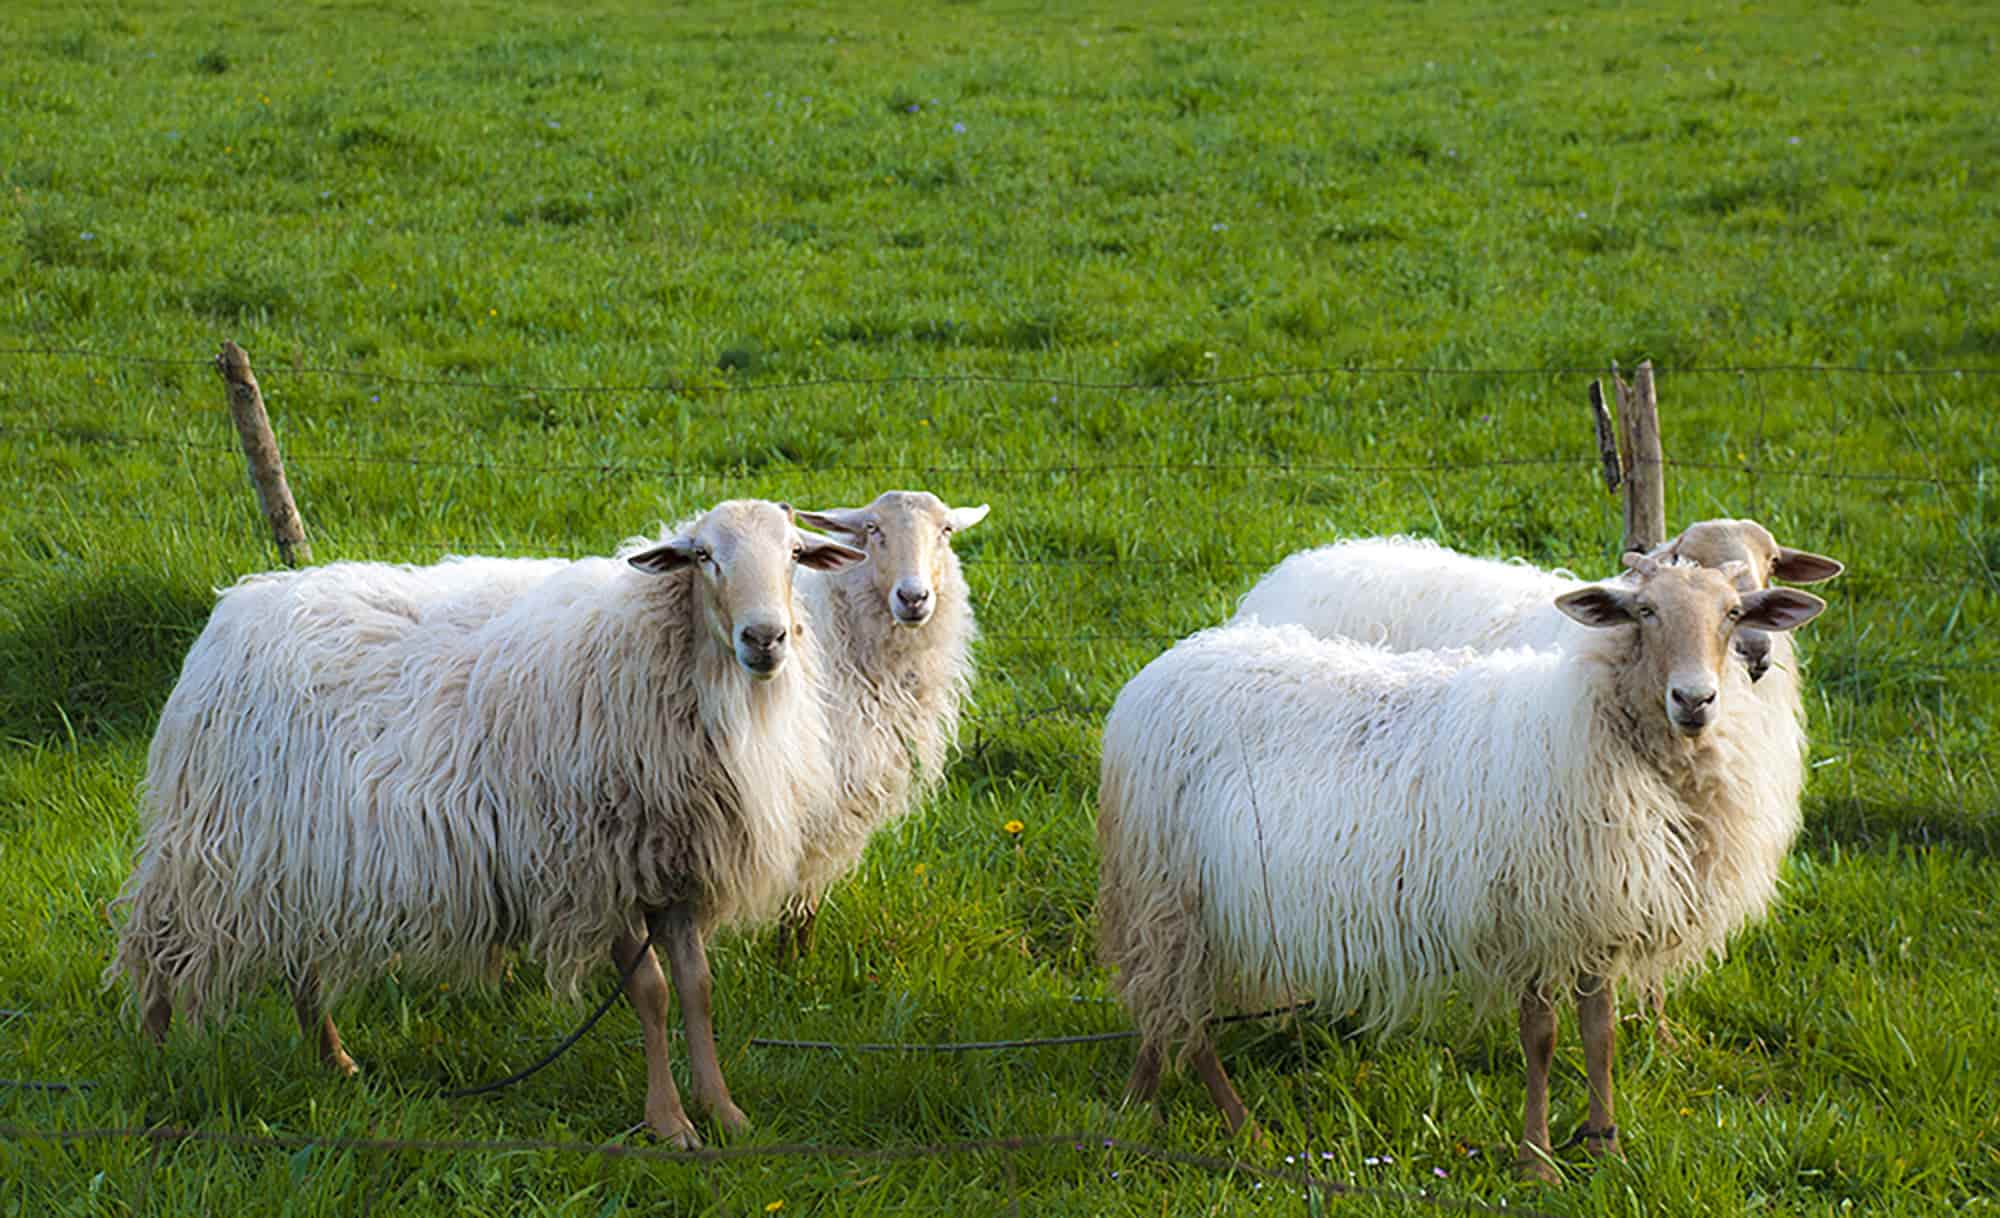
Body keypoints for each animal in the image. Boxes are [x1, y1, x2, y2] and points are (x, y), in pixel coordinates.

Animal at [107, 499, 865, 1148]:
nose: (764, 638)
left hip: (305, 854)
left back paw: (333, 1061)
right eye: (704, 556)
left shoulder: (670, 867)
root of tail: (234, 608)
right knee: (159, 938)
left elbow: (697, 988)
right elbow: (650, 994)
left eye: (795, 553)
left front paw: (723, 1111)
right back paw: (158, 1055)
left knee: (301, 956)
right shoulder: (596, 867)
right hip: (212, 845)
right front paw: (670, 1124)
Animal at [772, 491, 990, 959]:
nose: (913, 597)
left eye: (946, 531)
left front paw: (798, 959)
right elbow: (799, 893)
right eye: (873, 530)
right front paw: (790, 966)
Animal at [1097, 556, 1825, 1179]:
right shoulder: (1531, 915)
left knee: (1165, 1007)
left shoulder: (1596, 916)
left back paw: (1139, 1102)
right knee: (1181, 1012)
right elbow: (1542, 1039)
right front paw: (1537, 1162)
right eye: (1643, 611)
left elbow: (1600, 1036)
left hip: (1178, 896)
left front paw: (1606, 1147)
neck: (1594, 723)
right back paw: (1236, 1126)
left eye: (1733, 613)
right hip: (1165, 884)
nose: (1694, 700)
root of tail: (1167, 664)